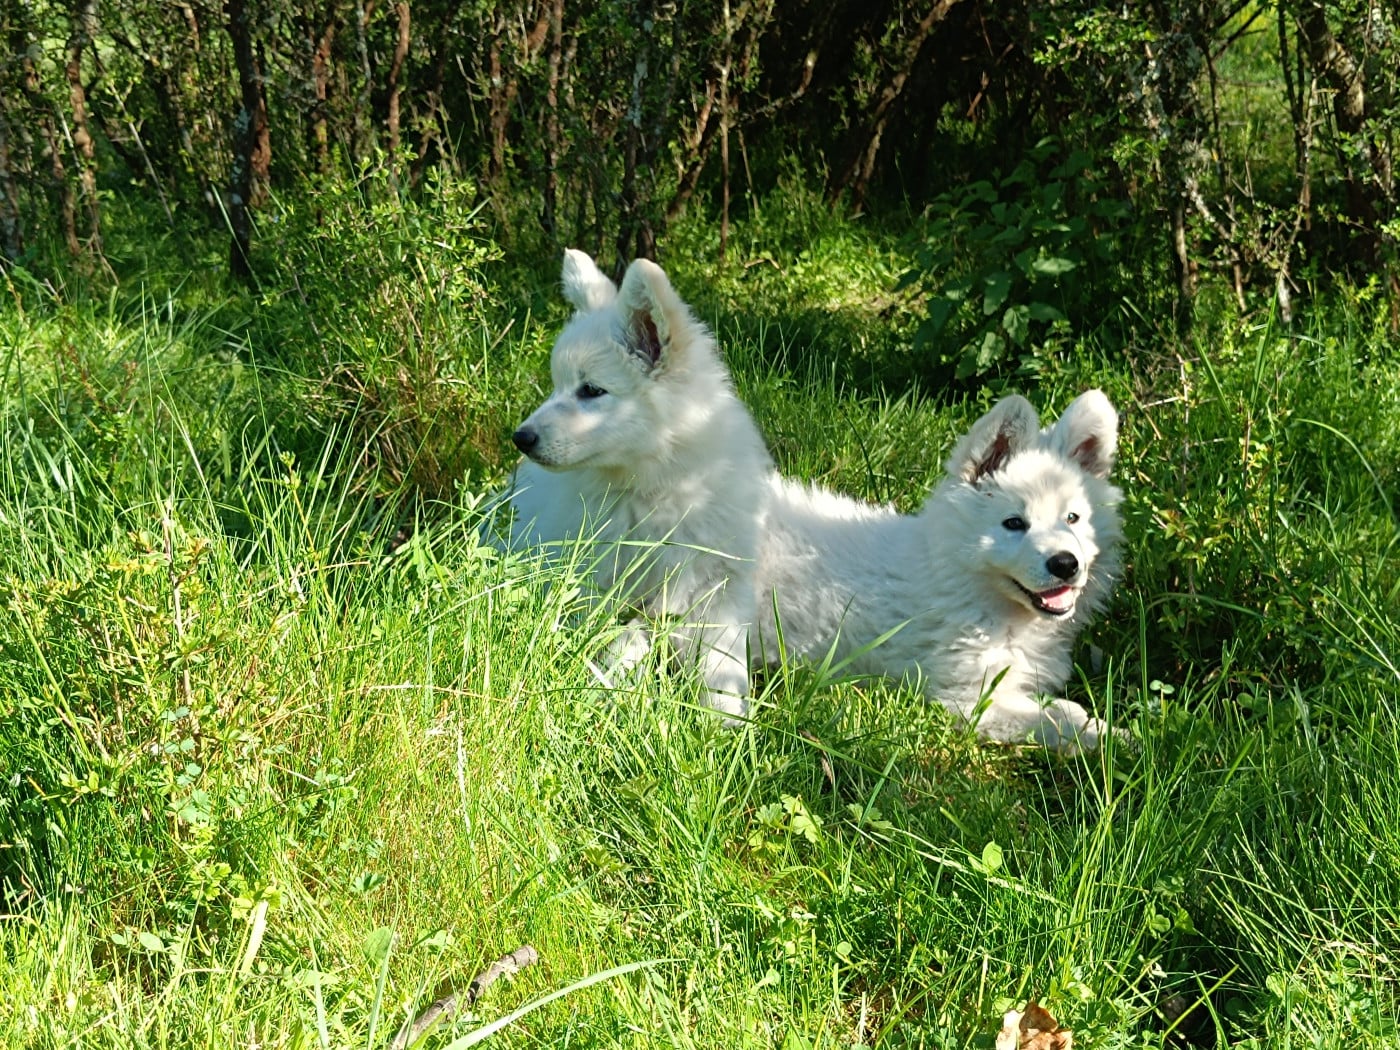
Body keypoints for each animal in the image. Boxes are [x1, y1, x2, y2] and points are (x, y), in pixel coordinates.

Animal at [497, 249, 772, 720]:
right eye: (557, 384)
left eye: (591, 390)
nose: (521, 438)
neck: (657, 490)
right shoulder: (594, 582)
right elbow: (621, 642)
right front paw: (629, 697)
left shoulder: (719, 587)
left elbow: (722, 666)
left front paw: (723, 721)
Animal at [751, 390, 1124, 751]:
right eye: (1014, 523)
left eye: (1073, 518)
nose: (1066, 564)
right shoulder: (965, 698)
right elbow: (1057, 722)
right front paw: (1121, 740)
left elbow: (1062, 711)